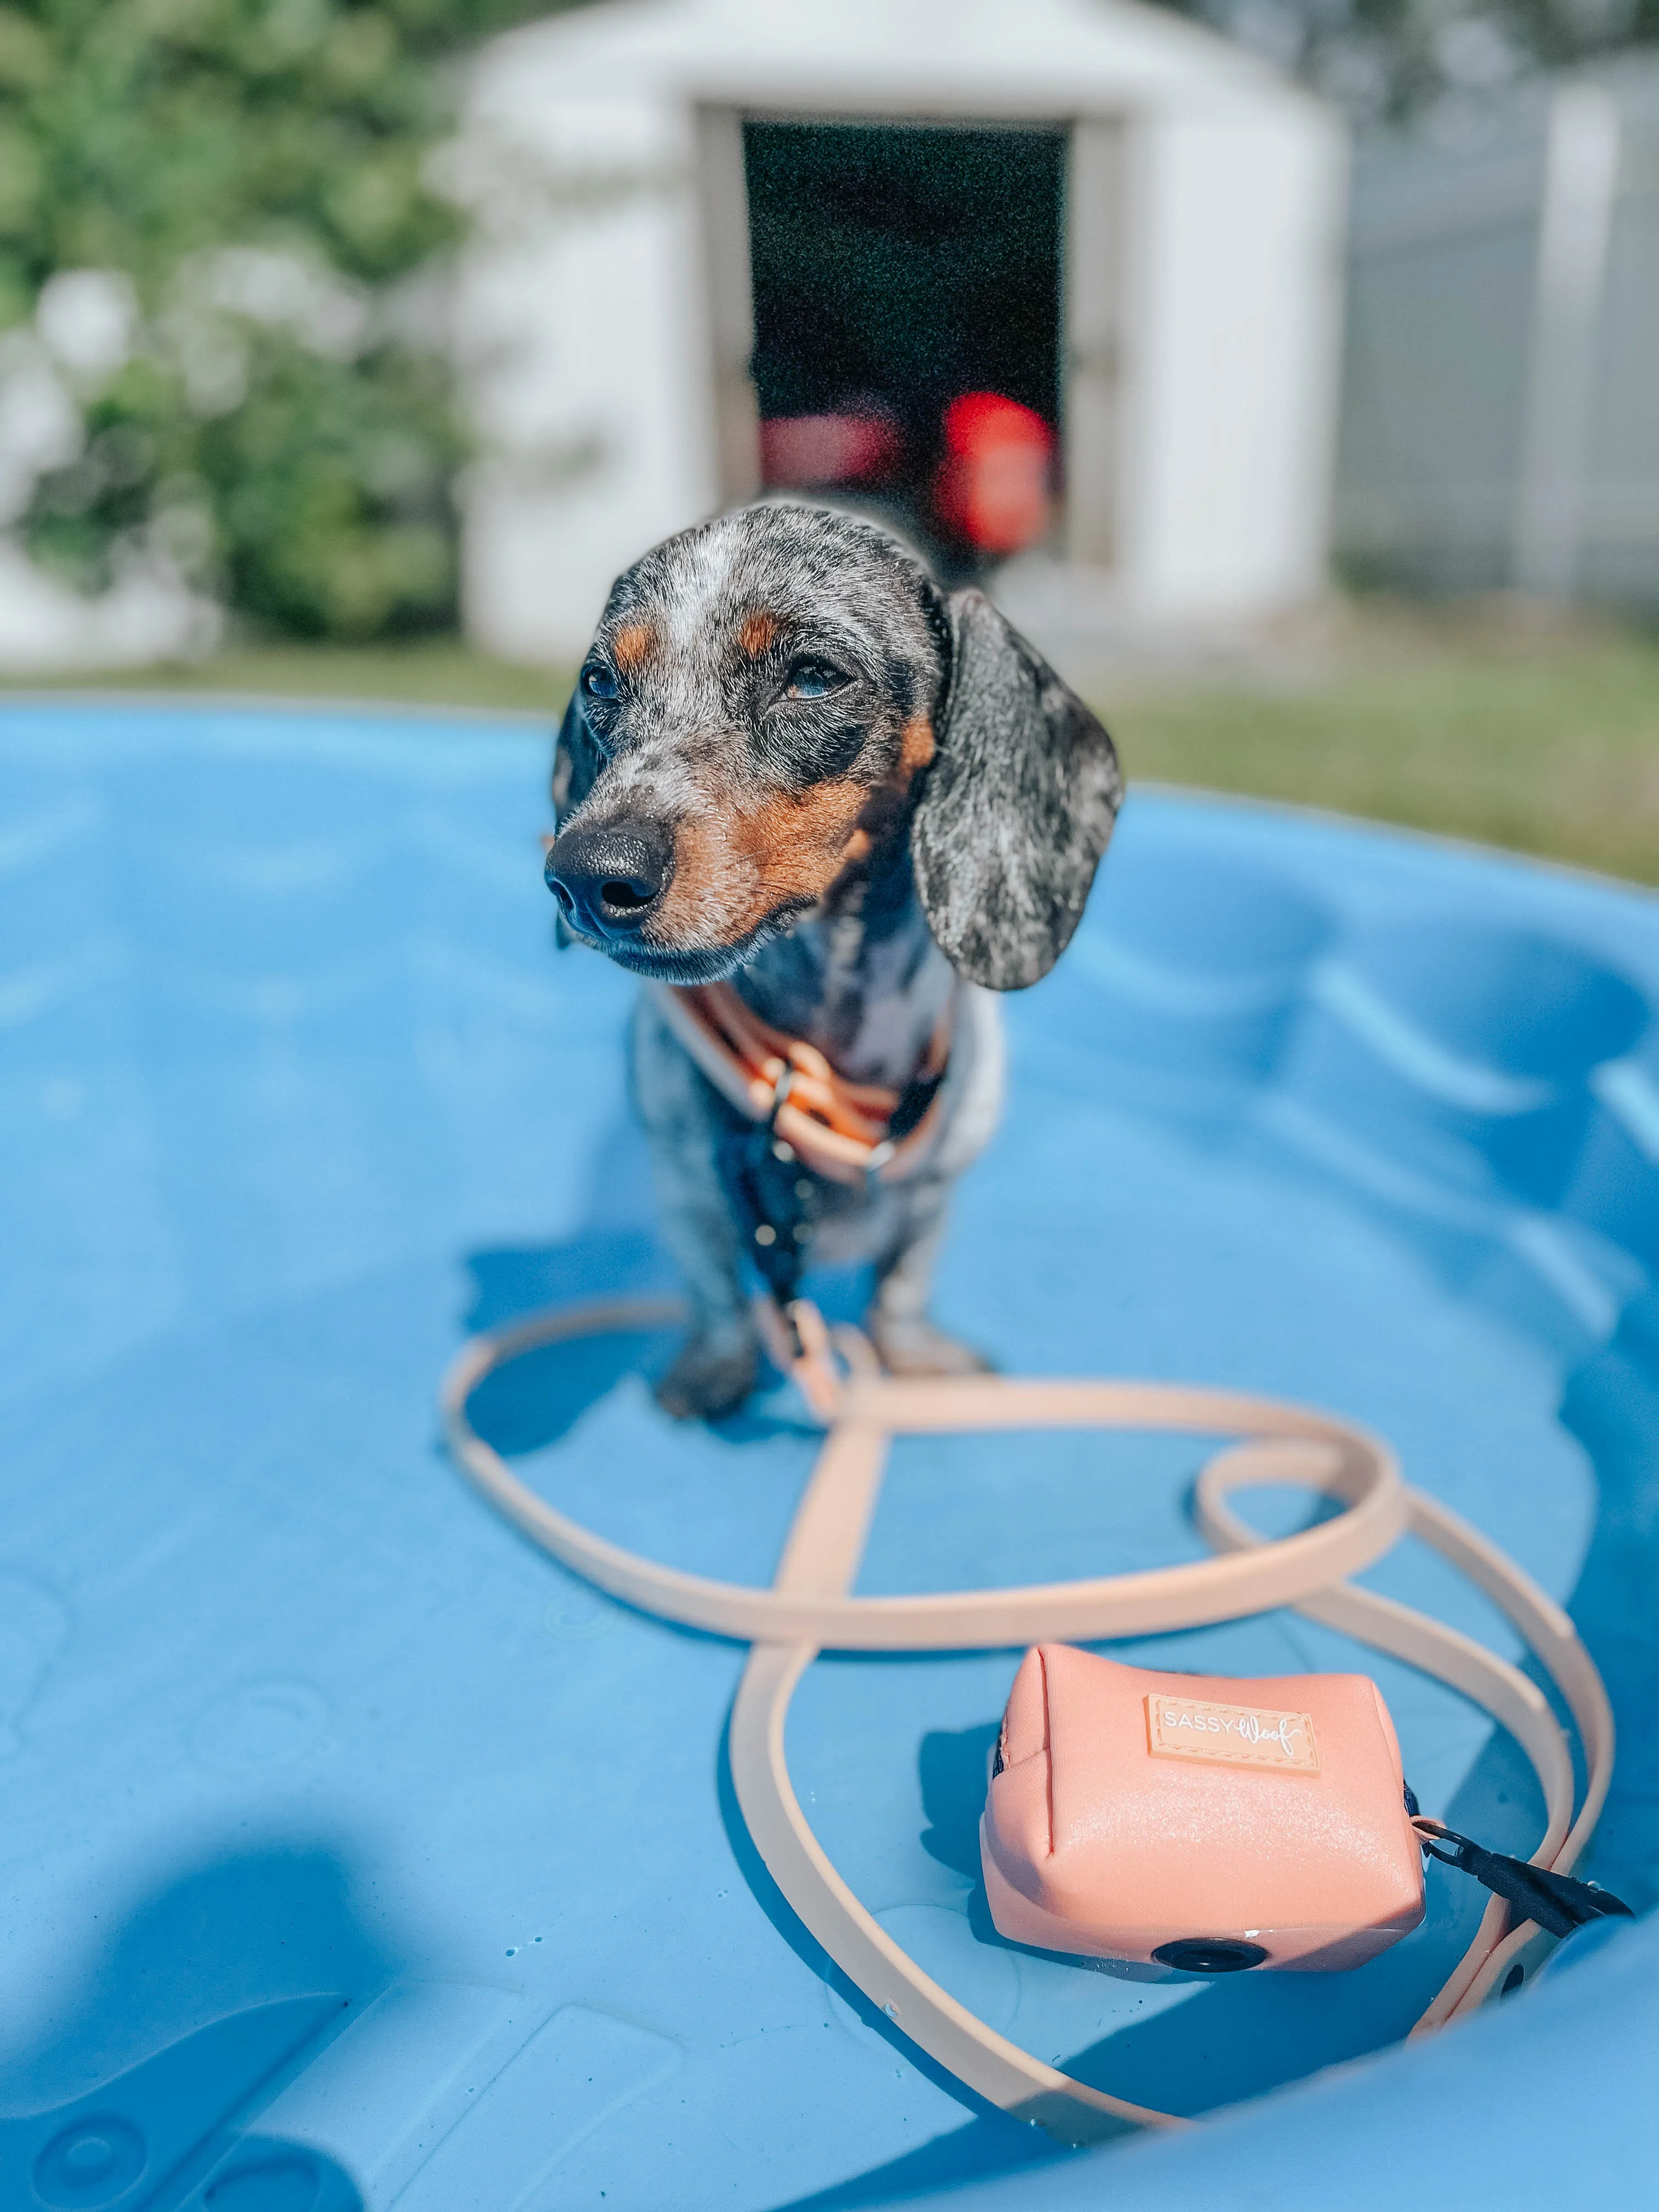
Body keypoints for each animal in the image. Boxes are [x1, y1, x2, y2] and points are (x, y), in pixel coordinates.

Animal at [541, 502, 1119, 1415]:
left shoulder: (935, 1192)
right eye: (600, 683)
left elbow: (903, 1282)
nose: (586, 875)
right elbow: (715, 1285)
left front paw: (909, 1354)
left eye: (813, 677)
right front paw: (718, 1367)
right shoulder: (685, 1185)